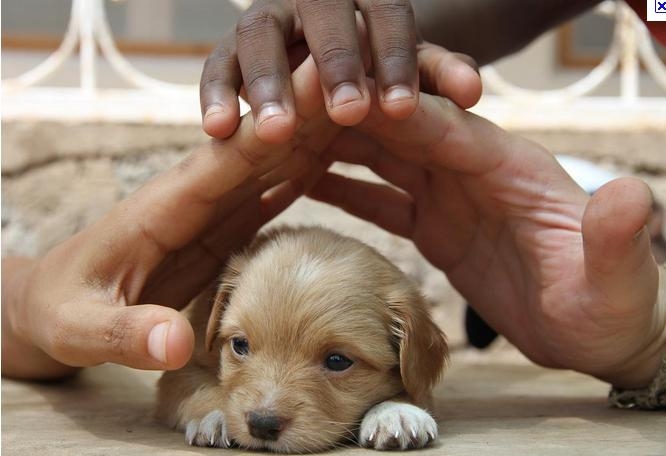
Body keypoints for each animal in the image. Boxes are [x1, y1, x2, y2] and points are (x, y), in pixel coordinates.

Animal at [156, 226, 446, 450]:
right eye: (239, 345)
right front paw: (216, 416)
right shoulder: (182, 367)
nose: (262, 425)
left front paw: (396, 412)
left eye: (338, 361)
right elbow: (201, 389)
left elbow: (412, 389)